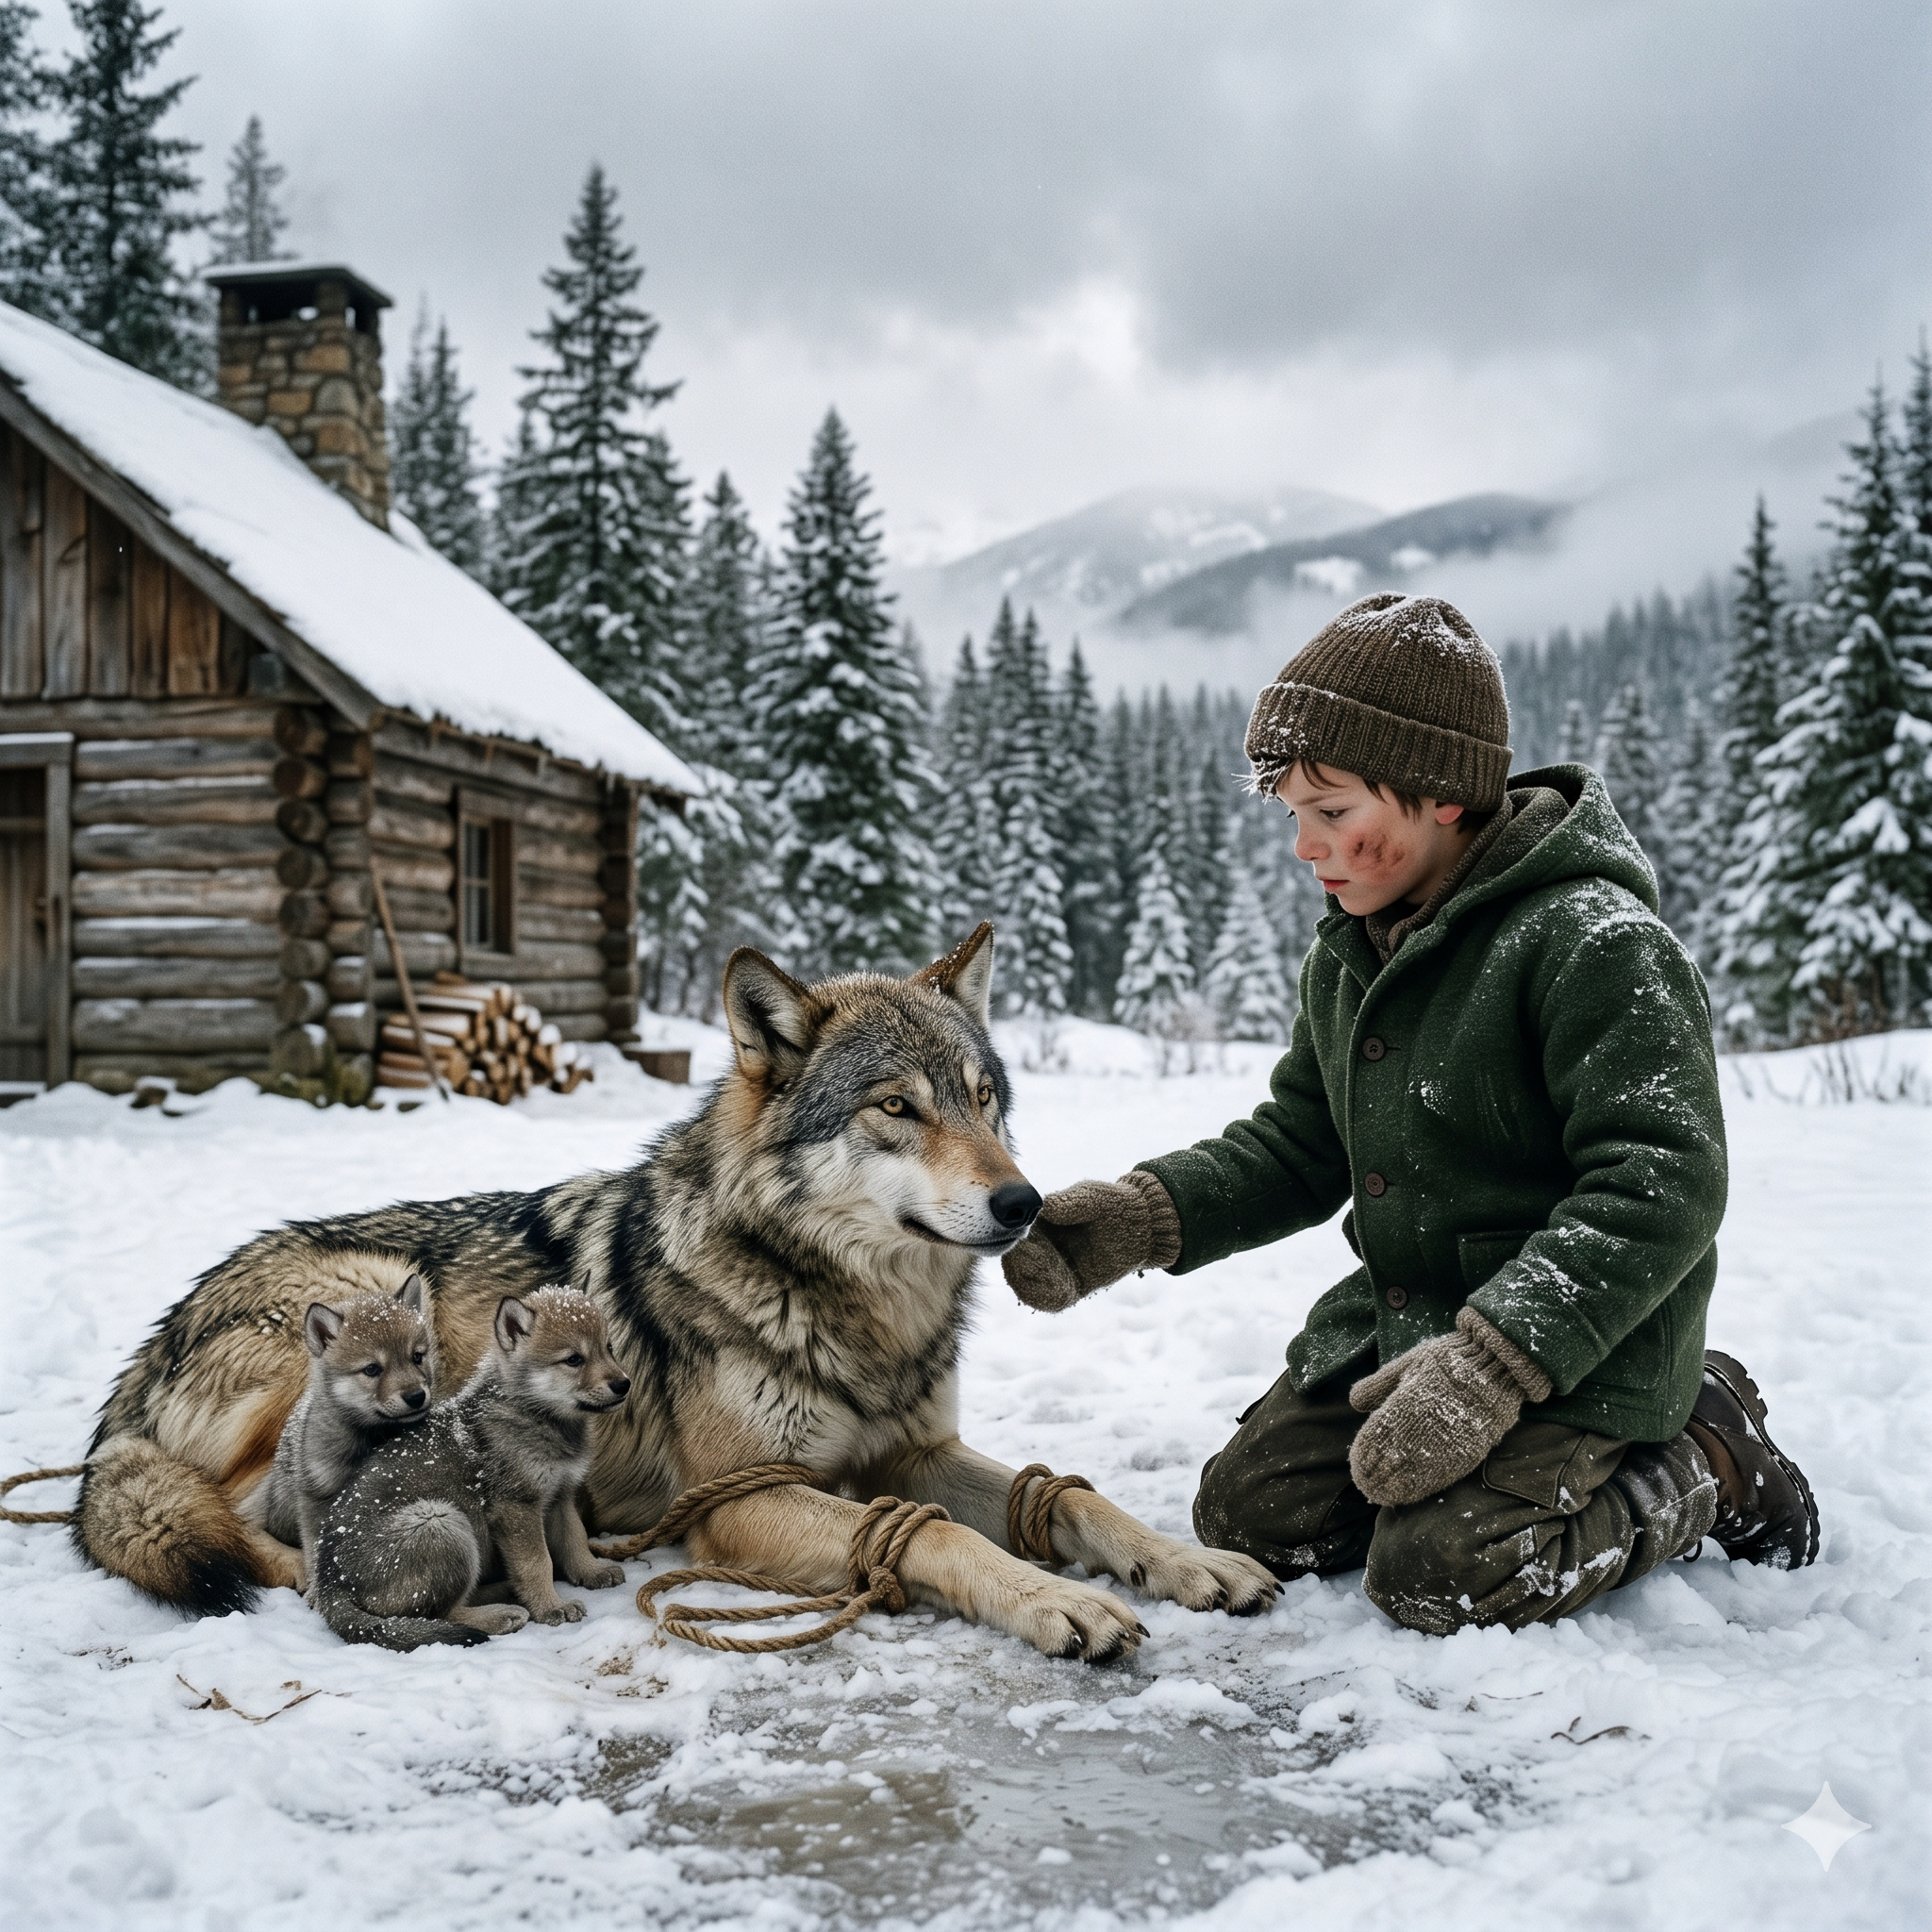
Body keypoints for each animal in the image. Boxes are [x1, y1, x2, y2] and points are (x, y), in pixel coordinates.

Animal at [312, 1286, 631, 1650]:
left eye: (608, 1348)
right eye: (574, 1359)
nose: (624, 1385)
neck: (533, 1414)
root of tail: (330, 1582)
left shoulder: (559, 1495)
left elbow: (574, 1539)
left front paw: (591, 1571)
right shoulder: (516, 1507)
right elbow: (538, 1563)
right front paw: (551, 1606)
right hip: (440, 1521)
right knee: (435, 1614)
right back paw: (499, 1614)